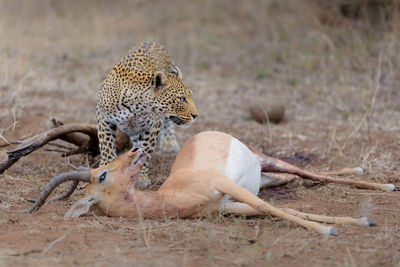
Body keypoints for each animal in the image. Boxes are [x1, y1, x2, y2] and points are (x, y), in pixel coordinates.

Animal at [95, 42, 198, 188]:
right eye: (182, 98)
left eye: (190, 96)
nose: (196, 115)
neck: (135, 107)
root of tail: (151, 42)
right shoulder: (103, 117)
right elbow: (106, 146)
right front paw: (106, 168)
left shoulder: (153, 126)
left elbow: (146, 152)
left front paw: (141, 178)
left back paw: (169, 142)